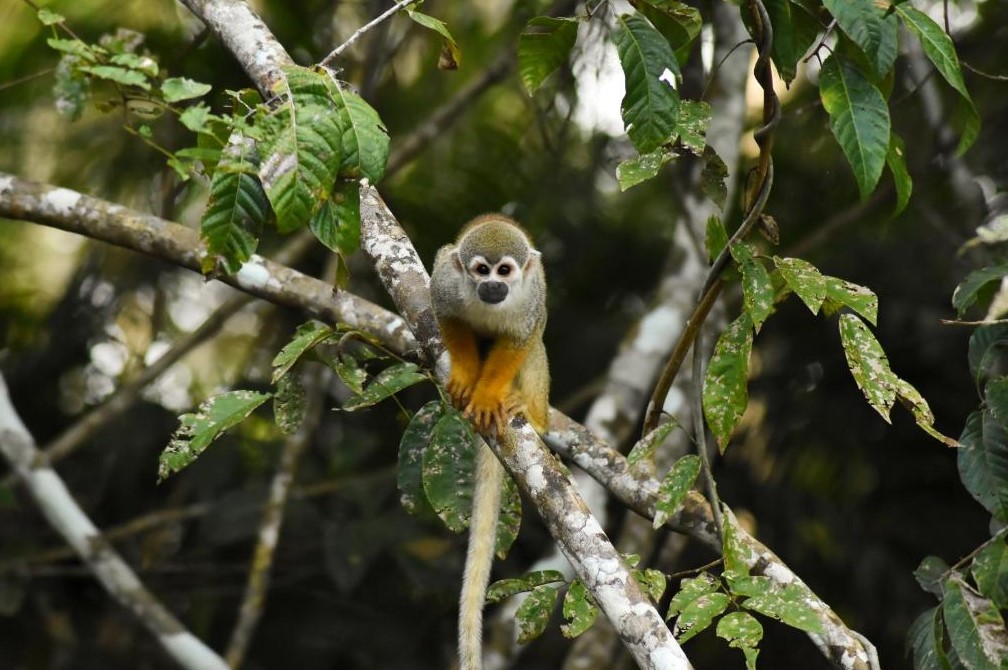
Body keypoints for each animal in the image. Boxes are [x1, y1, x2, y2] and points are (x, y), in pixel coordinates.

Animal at [429, 214, 549, 670]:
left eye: (504, 271)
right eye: (482, 270)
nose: (493, 286)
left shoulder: (532, 294)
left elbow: (523, 336)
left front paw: (486, 395)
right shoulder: (447, 281)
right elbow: (446, 313)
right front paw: (467, 376)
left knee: (535, 346)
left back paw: (533, 414)